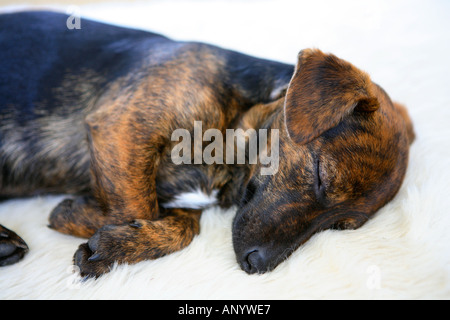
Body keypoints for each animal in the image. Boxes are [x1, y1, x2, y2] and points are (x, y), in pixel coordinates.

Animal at [0, 11, 414, 278]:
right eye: (319, 177)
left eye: (340, 227)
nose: (256, 266)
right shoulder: (122, 126)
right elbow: (137, 206)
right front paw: (89, 226)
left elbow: (181, 227)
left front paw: (114, 239)